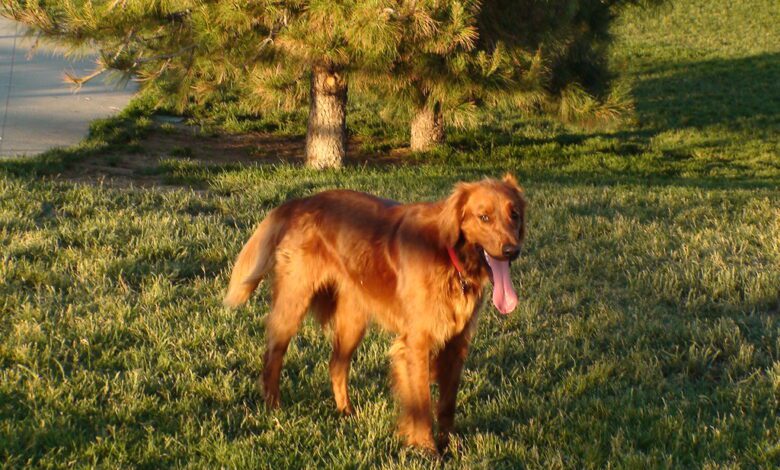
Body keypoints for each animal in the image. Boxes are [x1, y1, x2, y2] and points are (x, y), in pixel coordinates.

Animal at [227, 173, 532, 452]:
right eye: (484, 217)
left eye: (514, 214)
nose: (511, 250)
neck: (450, 259)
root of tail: (301, 201)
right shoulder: (416, 343)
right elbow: (421, 404)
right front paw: (427, 449)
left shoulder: (457, 344)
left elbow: (447, 404)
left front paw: (450, 446)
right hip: (293, 303)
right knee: (272, 356)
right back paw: (273, 408)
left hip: (352, 321)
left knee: (336, 365)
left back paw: (346, 412)